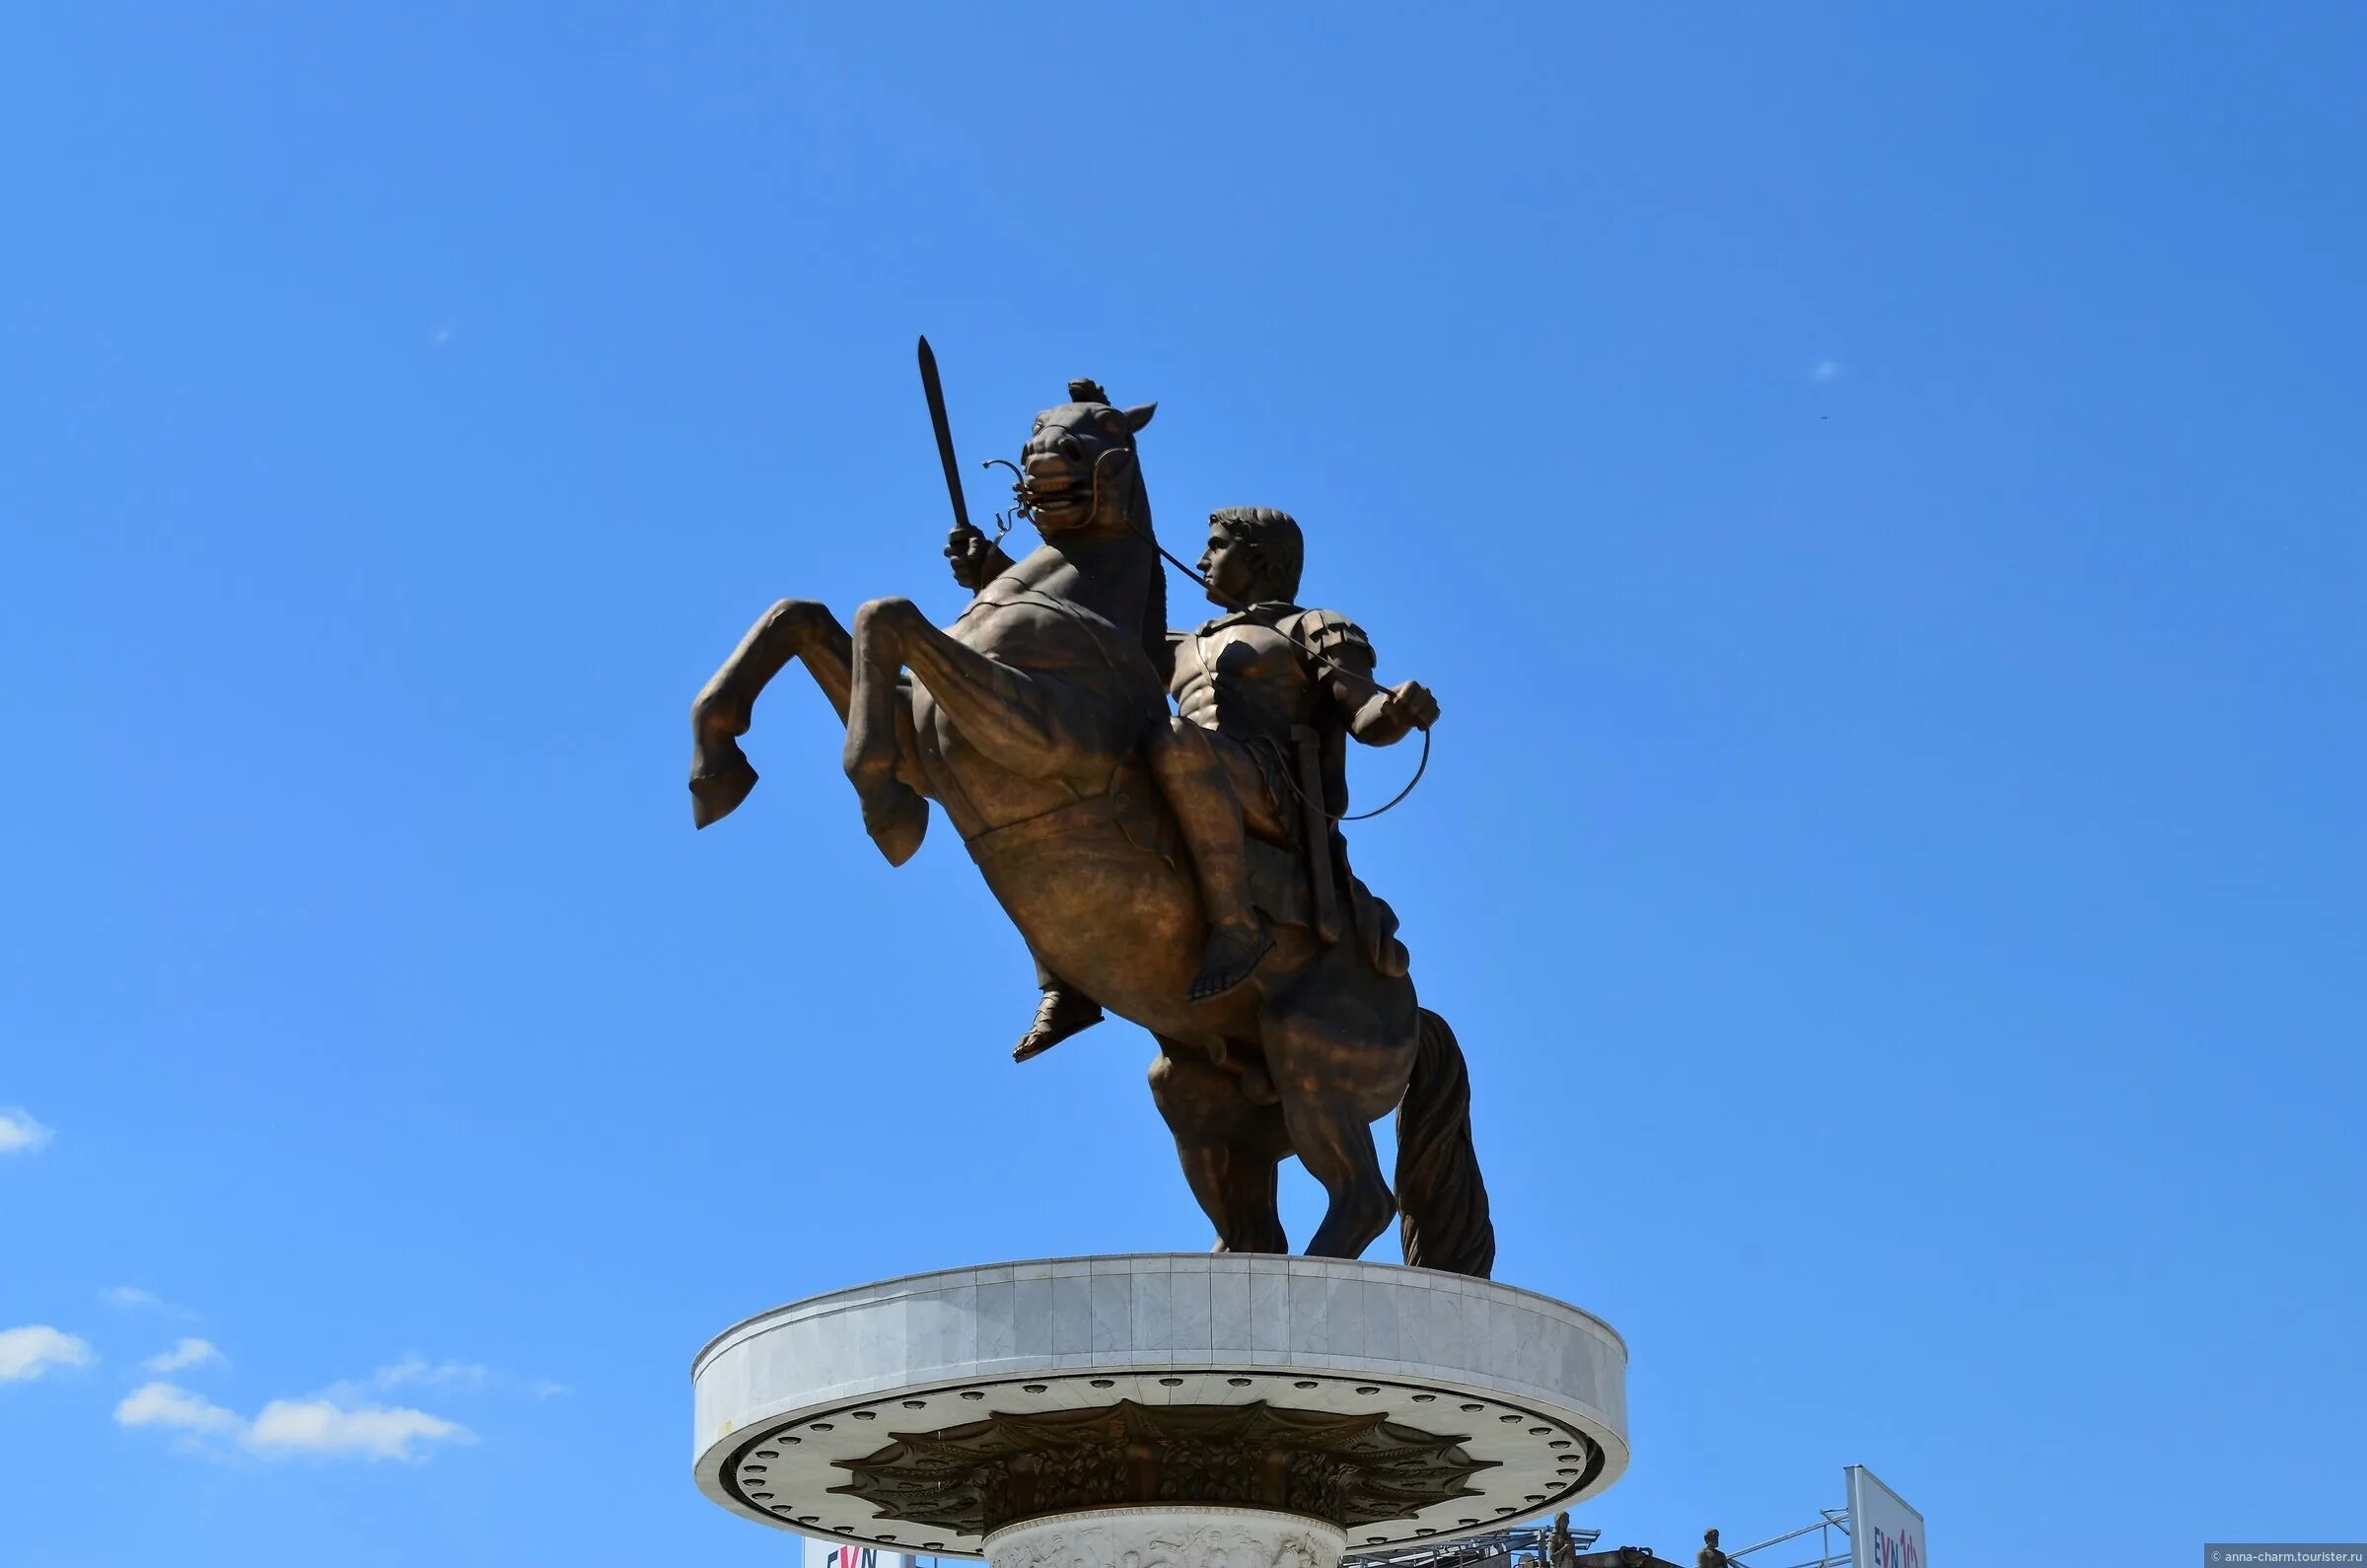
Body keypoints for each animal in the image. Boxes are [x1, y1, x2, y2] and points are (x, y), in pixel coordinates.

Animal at [690, 381, 1495, 1278]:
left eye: (1104, 427)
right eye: (1039, 424)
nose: (1046, 458)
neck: (1068, 601)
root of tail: (1411, 1004)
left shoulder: (1039, 733)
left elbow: (884, 615)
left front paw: (883, 807)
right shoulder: (921, 729)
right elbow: (803, 616)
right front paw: (716, 763)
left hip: (1315, 1074)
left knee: (1363, 1198)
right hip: (1206, 1096)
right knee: (1258, 1216)